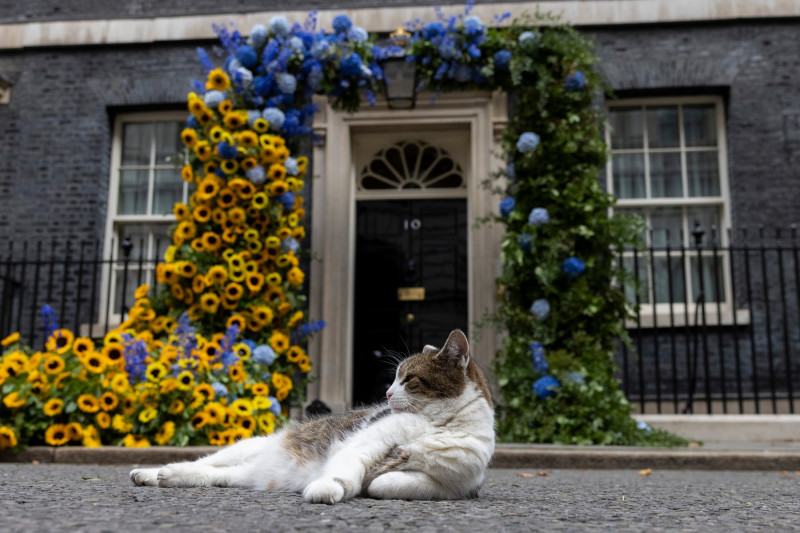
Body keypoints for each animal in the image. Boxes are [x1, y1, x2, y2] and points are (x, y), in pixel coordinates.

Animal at [130, 328, 494, 502]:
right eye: (394, 379)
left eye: (409, 379)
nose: (388, 395)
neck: (439, 424)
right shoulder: (367, 442)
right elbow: (349, 468)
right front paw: (328, 488)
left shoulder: (452, 485)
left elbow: (385, 483)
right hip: (246, 447)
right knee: (203, 462)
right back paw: (151, 472)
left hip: (245, 474)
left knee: (215, 475)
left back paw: (164, 477)